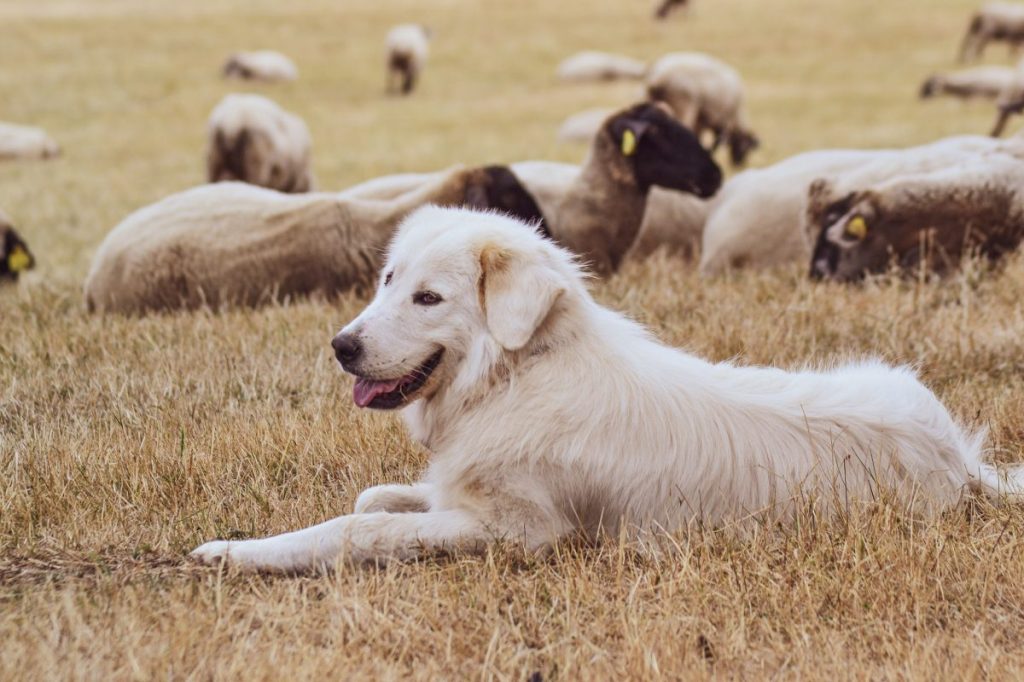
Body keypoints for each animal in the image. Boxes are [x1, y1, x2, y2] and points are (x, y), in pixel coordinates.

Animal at [193, 204, 1024, 569]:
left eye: (428, 298)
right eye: (388, 280)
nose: (342, 347)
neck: (518, 373)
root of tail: (958, 459)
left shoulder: (519, 532)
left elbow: (355, 527)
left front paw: (236, 551)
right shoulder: (458, 492)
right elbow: (376, 498)